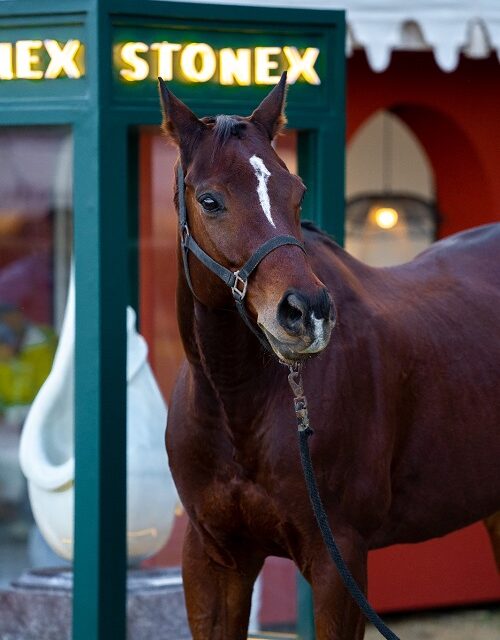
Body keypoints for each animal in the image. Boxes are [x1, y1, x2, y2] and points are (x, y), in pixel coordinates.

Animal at [159, 76, 500, 640]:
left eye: (295, 192)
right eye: (209, 200)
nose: (308, 312)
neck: (239, 405)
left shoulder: (338, 562)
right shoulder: (213, 560)